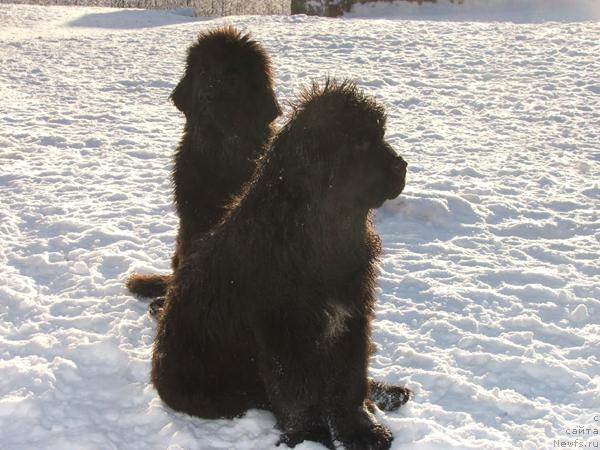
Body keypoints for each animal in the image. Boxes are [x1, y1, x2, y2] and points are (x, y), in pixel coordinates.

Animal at [152, 79, 410, 448]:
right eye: (360, 143)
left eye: (381, 135)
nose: (402, 165)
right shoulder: (285, 331)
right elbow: (298, 393)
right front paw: (311, 437)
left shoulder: (351, 316)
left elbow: (348, 381)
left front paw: (362, 430)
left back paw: (387, 393)